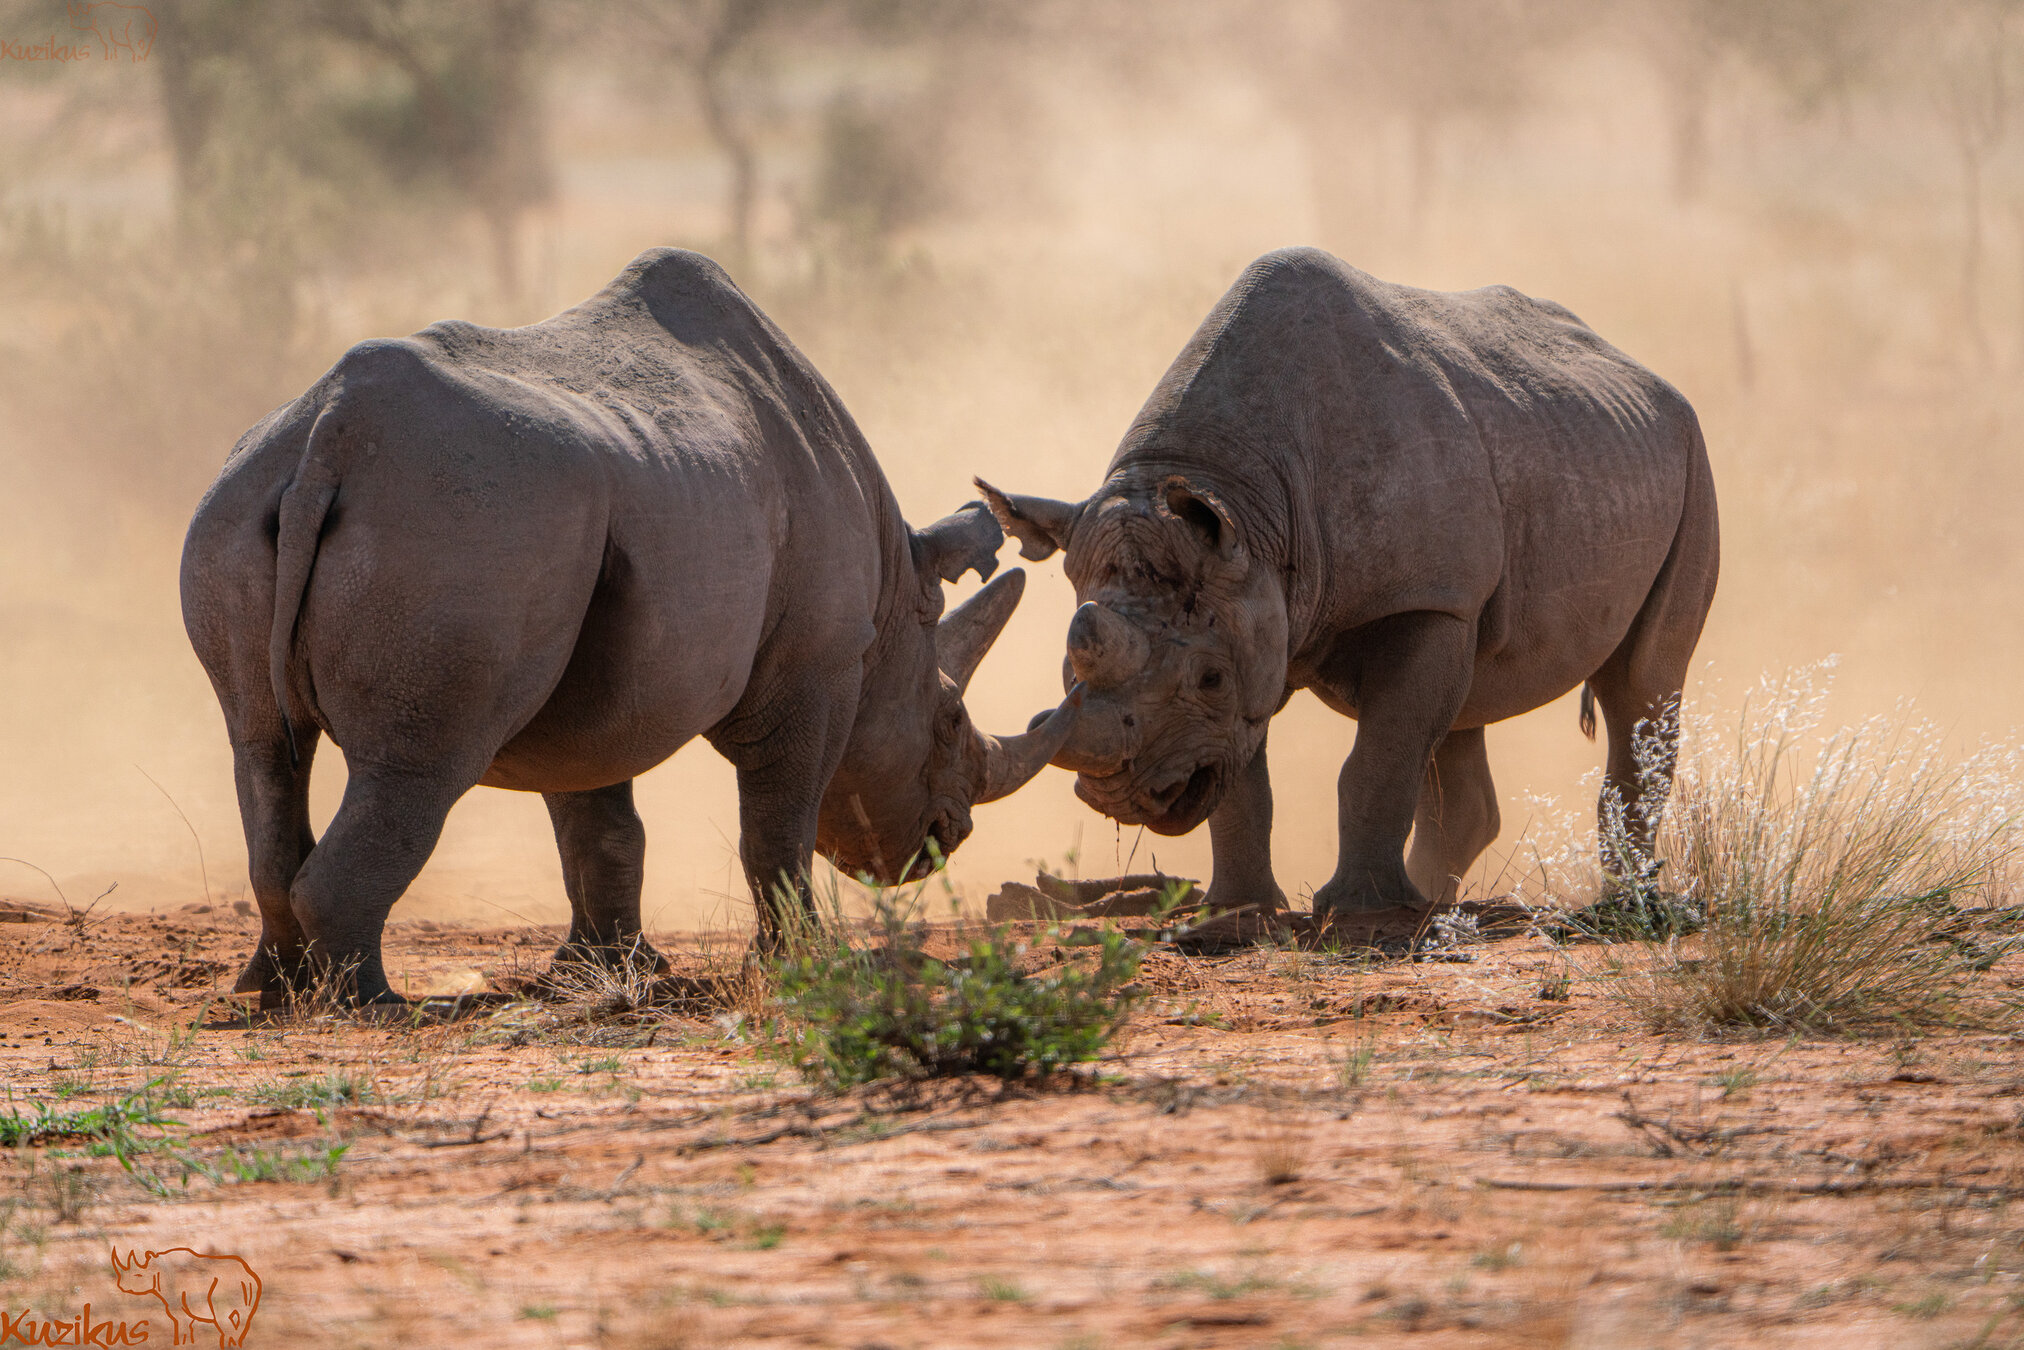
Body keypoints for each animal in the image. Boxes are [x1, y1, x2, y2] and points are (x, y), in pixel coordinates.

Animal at [182, 248, 1079, 1007]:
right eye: (950, 719)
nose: (945, 838)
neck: (895, 611)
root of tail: (332, 432)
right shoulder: (817, 667)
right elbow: (778, 826)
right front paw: (800, 966)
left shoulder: (590, 679)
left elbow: (599, 821)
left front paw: (608, 972)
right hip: (464, 526)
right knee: (418, 767)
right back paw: (372, 1004)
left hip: (251, 496)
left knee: (260, 746)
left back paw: (271, 991)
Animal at [980, 248, 1718, 921]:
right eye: (1068, 669)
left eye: (1209, 680)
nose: (1121, 799)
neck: (1248, 500)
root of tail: (1645, 373)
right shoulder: (1254, 606)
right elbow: (1245, 783)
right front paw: (1236, 915)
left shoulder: (1421, 599)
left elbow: (1375, 761)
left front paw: (1358, 914)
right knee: (1464, 707)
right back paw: (1437, 906)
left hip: (1691, 459)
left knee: (1641, 681)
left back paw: (1621, 907)